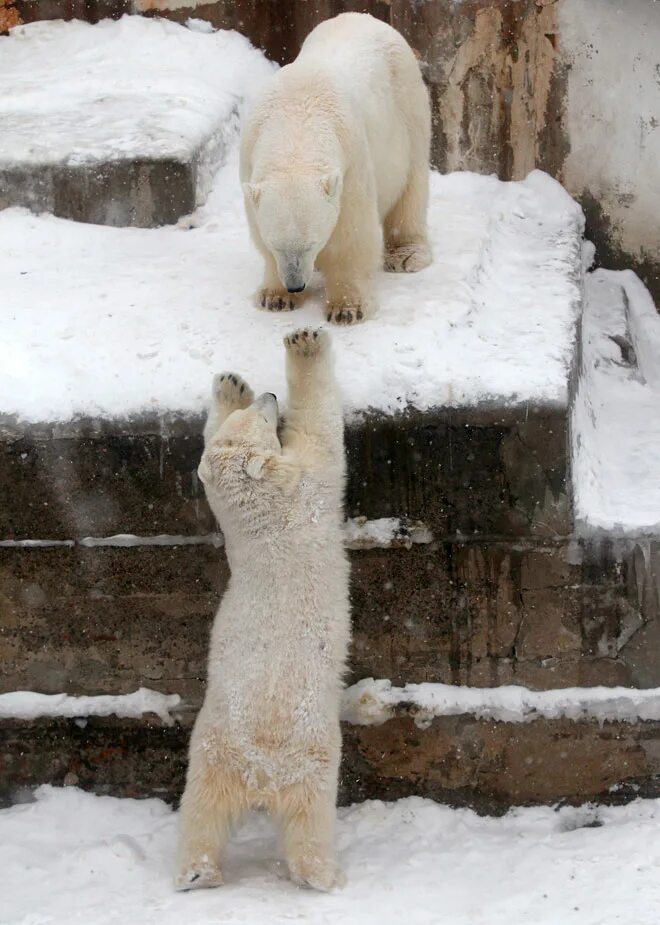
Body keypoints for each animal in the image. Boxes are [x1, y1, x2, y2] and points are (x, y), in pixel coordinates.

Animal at [175, 328, 350, 892]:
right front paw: (305, 341)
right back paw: (322, 875)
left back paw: (196, 872)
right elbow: (322, 432)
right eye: (264, 419)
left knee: (201, 812)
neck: (260, 509)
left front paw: (228, 384)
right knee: (309, 821)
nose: (269, 396)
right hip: (312, 756)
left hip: (209, 752)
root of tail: (259, 776)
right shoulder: (307, 484)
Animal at [240, 11, 430, 324]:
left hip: (408, 107)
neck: (296, 119)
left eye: (311, 243)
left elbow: (351, 235)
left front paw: (347, 309)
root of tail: (367, 17)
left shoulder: (351, 162)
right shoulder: (250, 156)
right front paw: (274, 297)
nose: (295, 285)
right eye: (276, 244)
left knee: (411, 182)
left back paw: (406, 254)